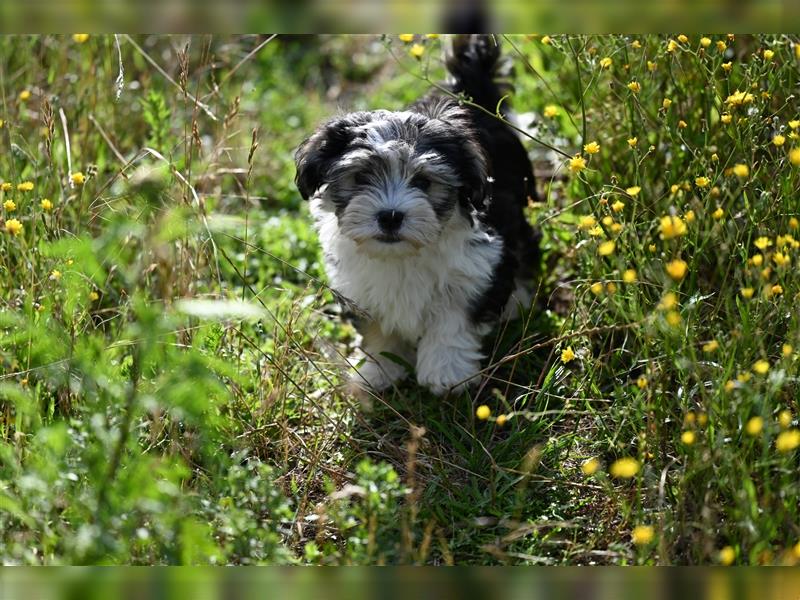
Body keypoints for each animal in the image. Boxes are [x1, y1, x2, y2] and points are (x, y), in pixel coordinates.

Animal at [296, 35, 540, 396]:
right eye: (361, 177)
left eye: (424, 182)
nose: (390, 216)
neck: (402, 255)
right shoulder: (361, 289)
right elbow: (378, 331)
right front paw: (379, 370)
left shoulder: (474, 266)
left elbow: (453, 319)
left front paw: (445, 372)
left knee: (522, 245)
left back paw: (516, 300)